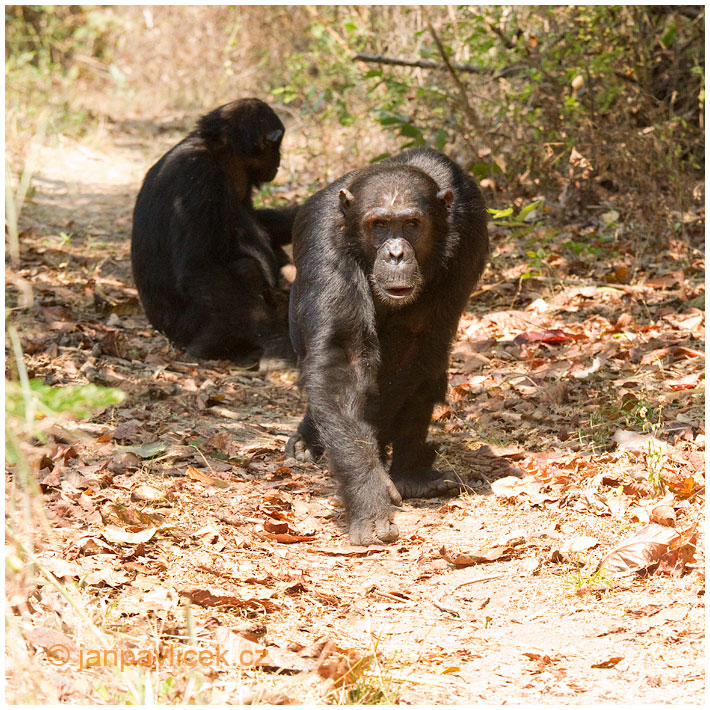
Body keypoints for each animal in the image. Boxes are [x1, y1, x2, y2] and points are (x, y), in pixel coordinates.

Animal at [131, 98, 298, 372]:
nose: (280, 159)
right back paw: (210, 347)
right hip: (184, 329)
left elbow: (259, 219)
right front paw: (277, 342)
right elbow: (200, 267)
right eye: (277, 145)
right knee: (245, 269)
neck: (222, 155)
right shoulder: (198, 180)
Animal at [286, 147, 492, 548]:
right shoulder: (325, 241)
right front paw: (368, 488)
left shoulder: (471, 238)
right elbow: (343, 358)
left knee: (427, 364)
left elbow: (414, 345)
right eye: (379, 225)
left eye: (411, 224)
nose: (396, 253)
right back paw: (309, 438)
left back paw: (411, 474)